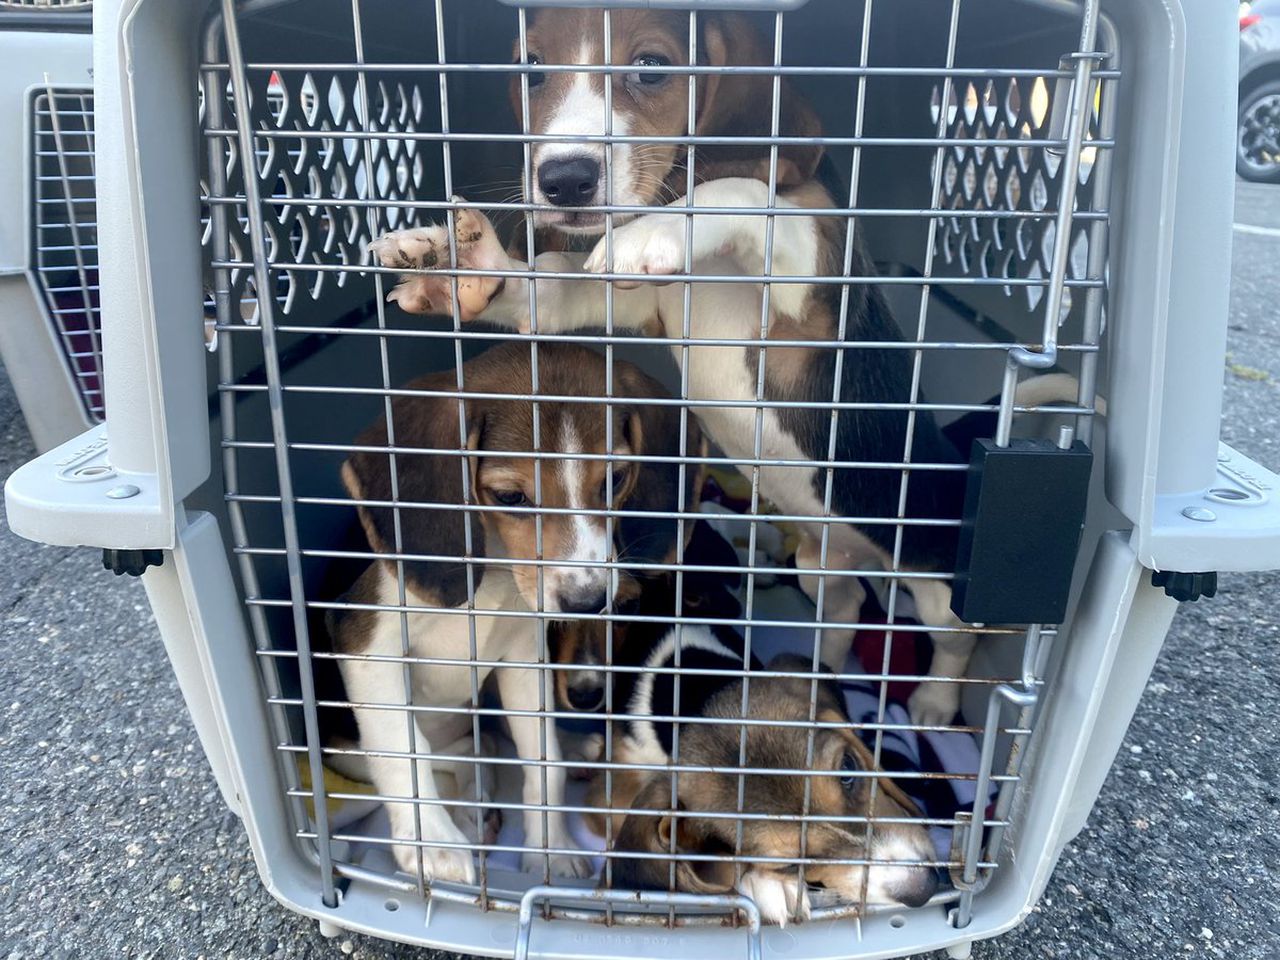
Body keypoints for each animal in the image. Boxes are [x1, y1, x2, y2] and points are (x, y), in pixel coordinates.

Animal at [327, 343, 701, 885]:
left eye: (614, 480)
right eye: (510, 497)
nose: (589, 601)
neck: (497, 575)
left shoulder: (524, 658)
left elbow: (544, 764)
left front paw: (552, 849)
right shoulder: (368, 649)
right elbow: (406, 750)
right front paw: (432, 844)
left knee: (482, 745)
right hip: (345, 751)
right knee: (454, 752)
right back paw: (469, 810)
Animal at [373, 9, 1080, 727]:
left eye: (653, 67)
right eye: (531, 68)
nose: (564, 177)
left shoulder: (807, 289)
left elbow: (740, 188)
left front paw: (654, 230)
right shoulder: (621, 302)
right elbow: (543, 285)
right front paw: (457, 267)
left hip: (933, 581)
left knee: (955, 637)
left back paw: (935, 700)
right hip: (819, 558)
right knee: (849, 601)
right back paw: (823, 669)